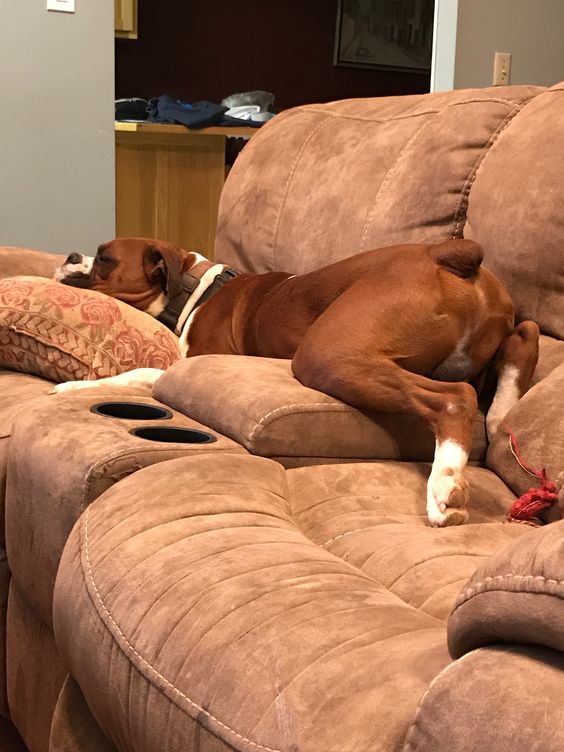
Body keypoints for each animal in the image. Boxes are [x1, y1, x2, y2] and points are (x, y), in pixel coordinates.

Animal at [54, 238, 540, 524]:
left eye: (104, 257)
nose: (70, 254)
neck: (193, 286)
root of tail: (444, 253)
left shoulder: (198, 358)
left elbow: (141, 372)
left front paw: (73, 387)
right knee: (525, 335)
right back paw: (500, 415)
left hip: (327, 355)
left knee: (456, 397)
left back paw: (445, 483)